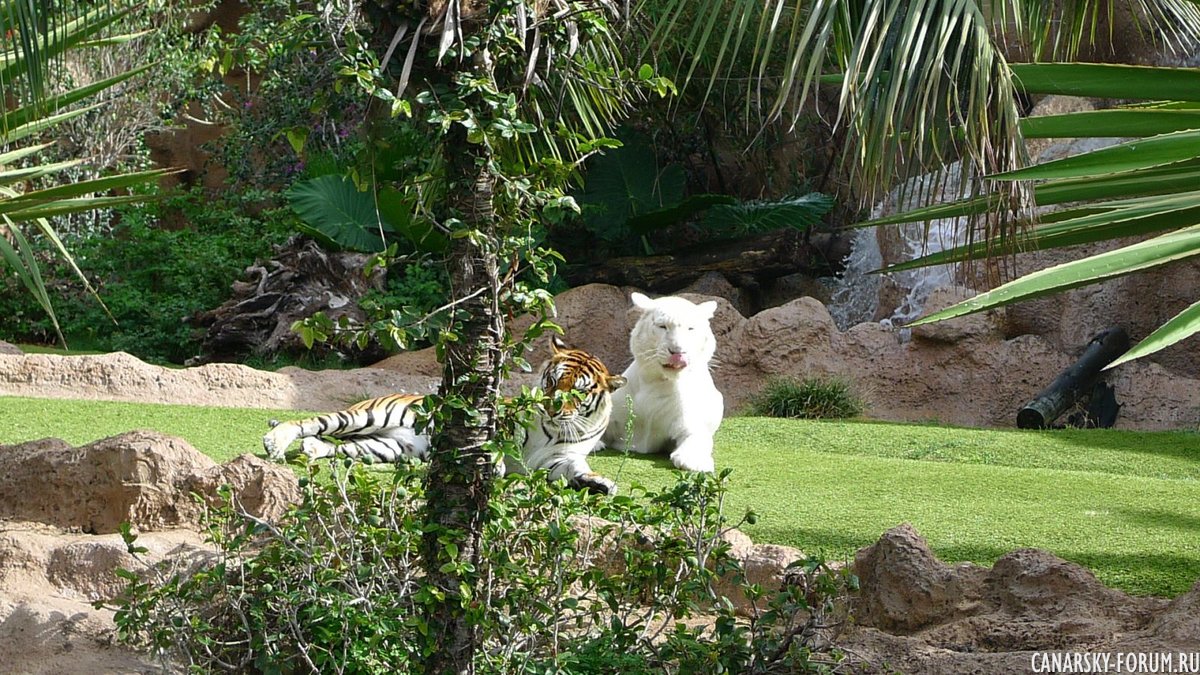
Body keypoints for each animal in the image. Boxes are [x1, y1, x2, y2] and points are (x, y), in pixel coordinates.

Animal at [264, 333, 628, 492]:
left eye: (578, 391)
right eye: (552, 382)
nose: (550, 408)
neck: (551, 430)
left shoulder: (559, 459)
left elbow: (577, 470)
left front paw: (600, 483)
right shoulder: (493, 421)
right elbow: (492, 445)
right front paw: (495, 468)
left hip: (386, 446)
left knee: (335, 445)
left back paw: (312, 449)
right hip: (365, 417)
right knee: (309, 422)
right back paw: (276, 442)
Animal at [600, 291, 720, 470]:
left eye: (690, 328)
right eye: (663, 326)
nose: (678, 351)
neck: (656, 381)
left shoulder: (687, 422)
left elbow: (697, 438)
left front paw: (694, 462)